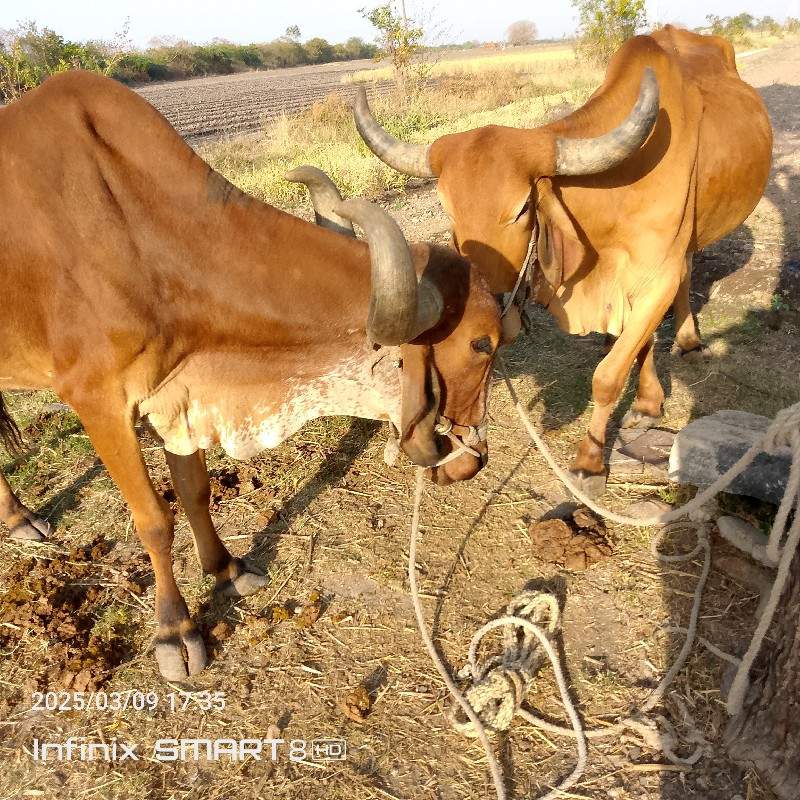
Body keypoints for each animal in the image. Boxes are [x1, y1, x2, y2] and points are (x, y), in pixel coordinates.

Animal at [0, 72, 506, 680]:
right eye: (482, 343)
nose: (473, 460)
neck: (138, 231)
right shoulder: (97, 401)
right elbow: (154, 519)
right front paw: (174, 630)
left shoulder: (180, 394)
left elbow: (194, 492)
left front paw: (226, 568)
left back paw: (17, 517)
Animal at [354, 28, 772, 496]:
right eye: (446, 207)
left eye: (521, 209)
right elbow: (639, 345)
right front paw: (648, 402)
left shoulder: (658, 275)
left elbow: (607, 376)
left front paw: (590, 461)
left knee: (688, 274)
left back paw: (690, 340)